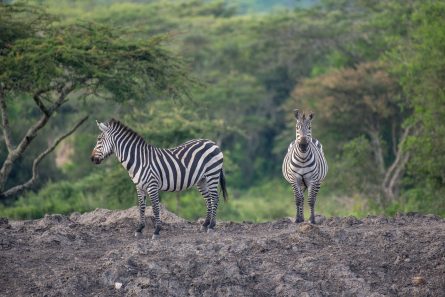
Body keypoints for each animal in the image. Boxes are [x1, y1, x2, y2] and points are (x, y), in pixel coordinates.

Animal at [91, 118, 229, 238]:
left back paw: (211, 226)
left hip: (212, 174)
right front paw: (139, 229)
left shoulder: (152, 186)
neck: (139, 161)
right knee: (208, 200)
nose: (91, 159)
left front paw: (156, 231)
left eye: (99, 139)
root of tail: (211, 142)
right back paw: (205, 225)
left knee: (215, 198)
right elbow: (141, 208)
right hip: (202, 180)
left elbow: (156, 209)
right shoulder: (139, 187)